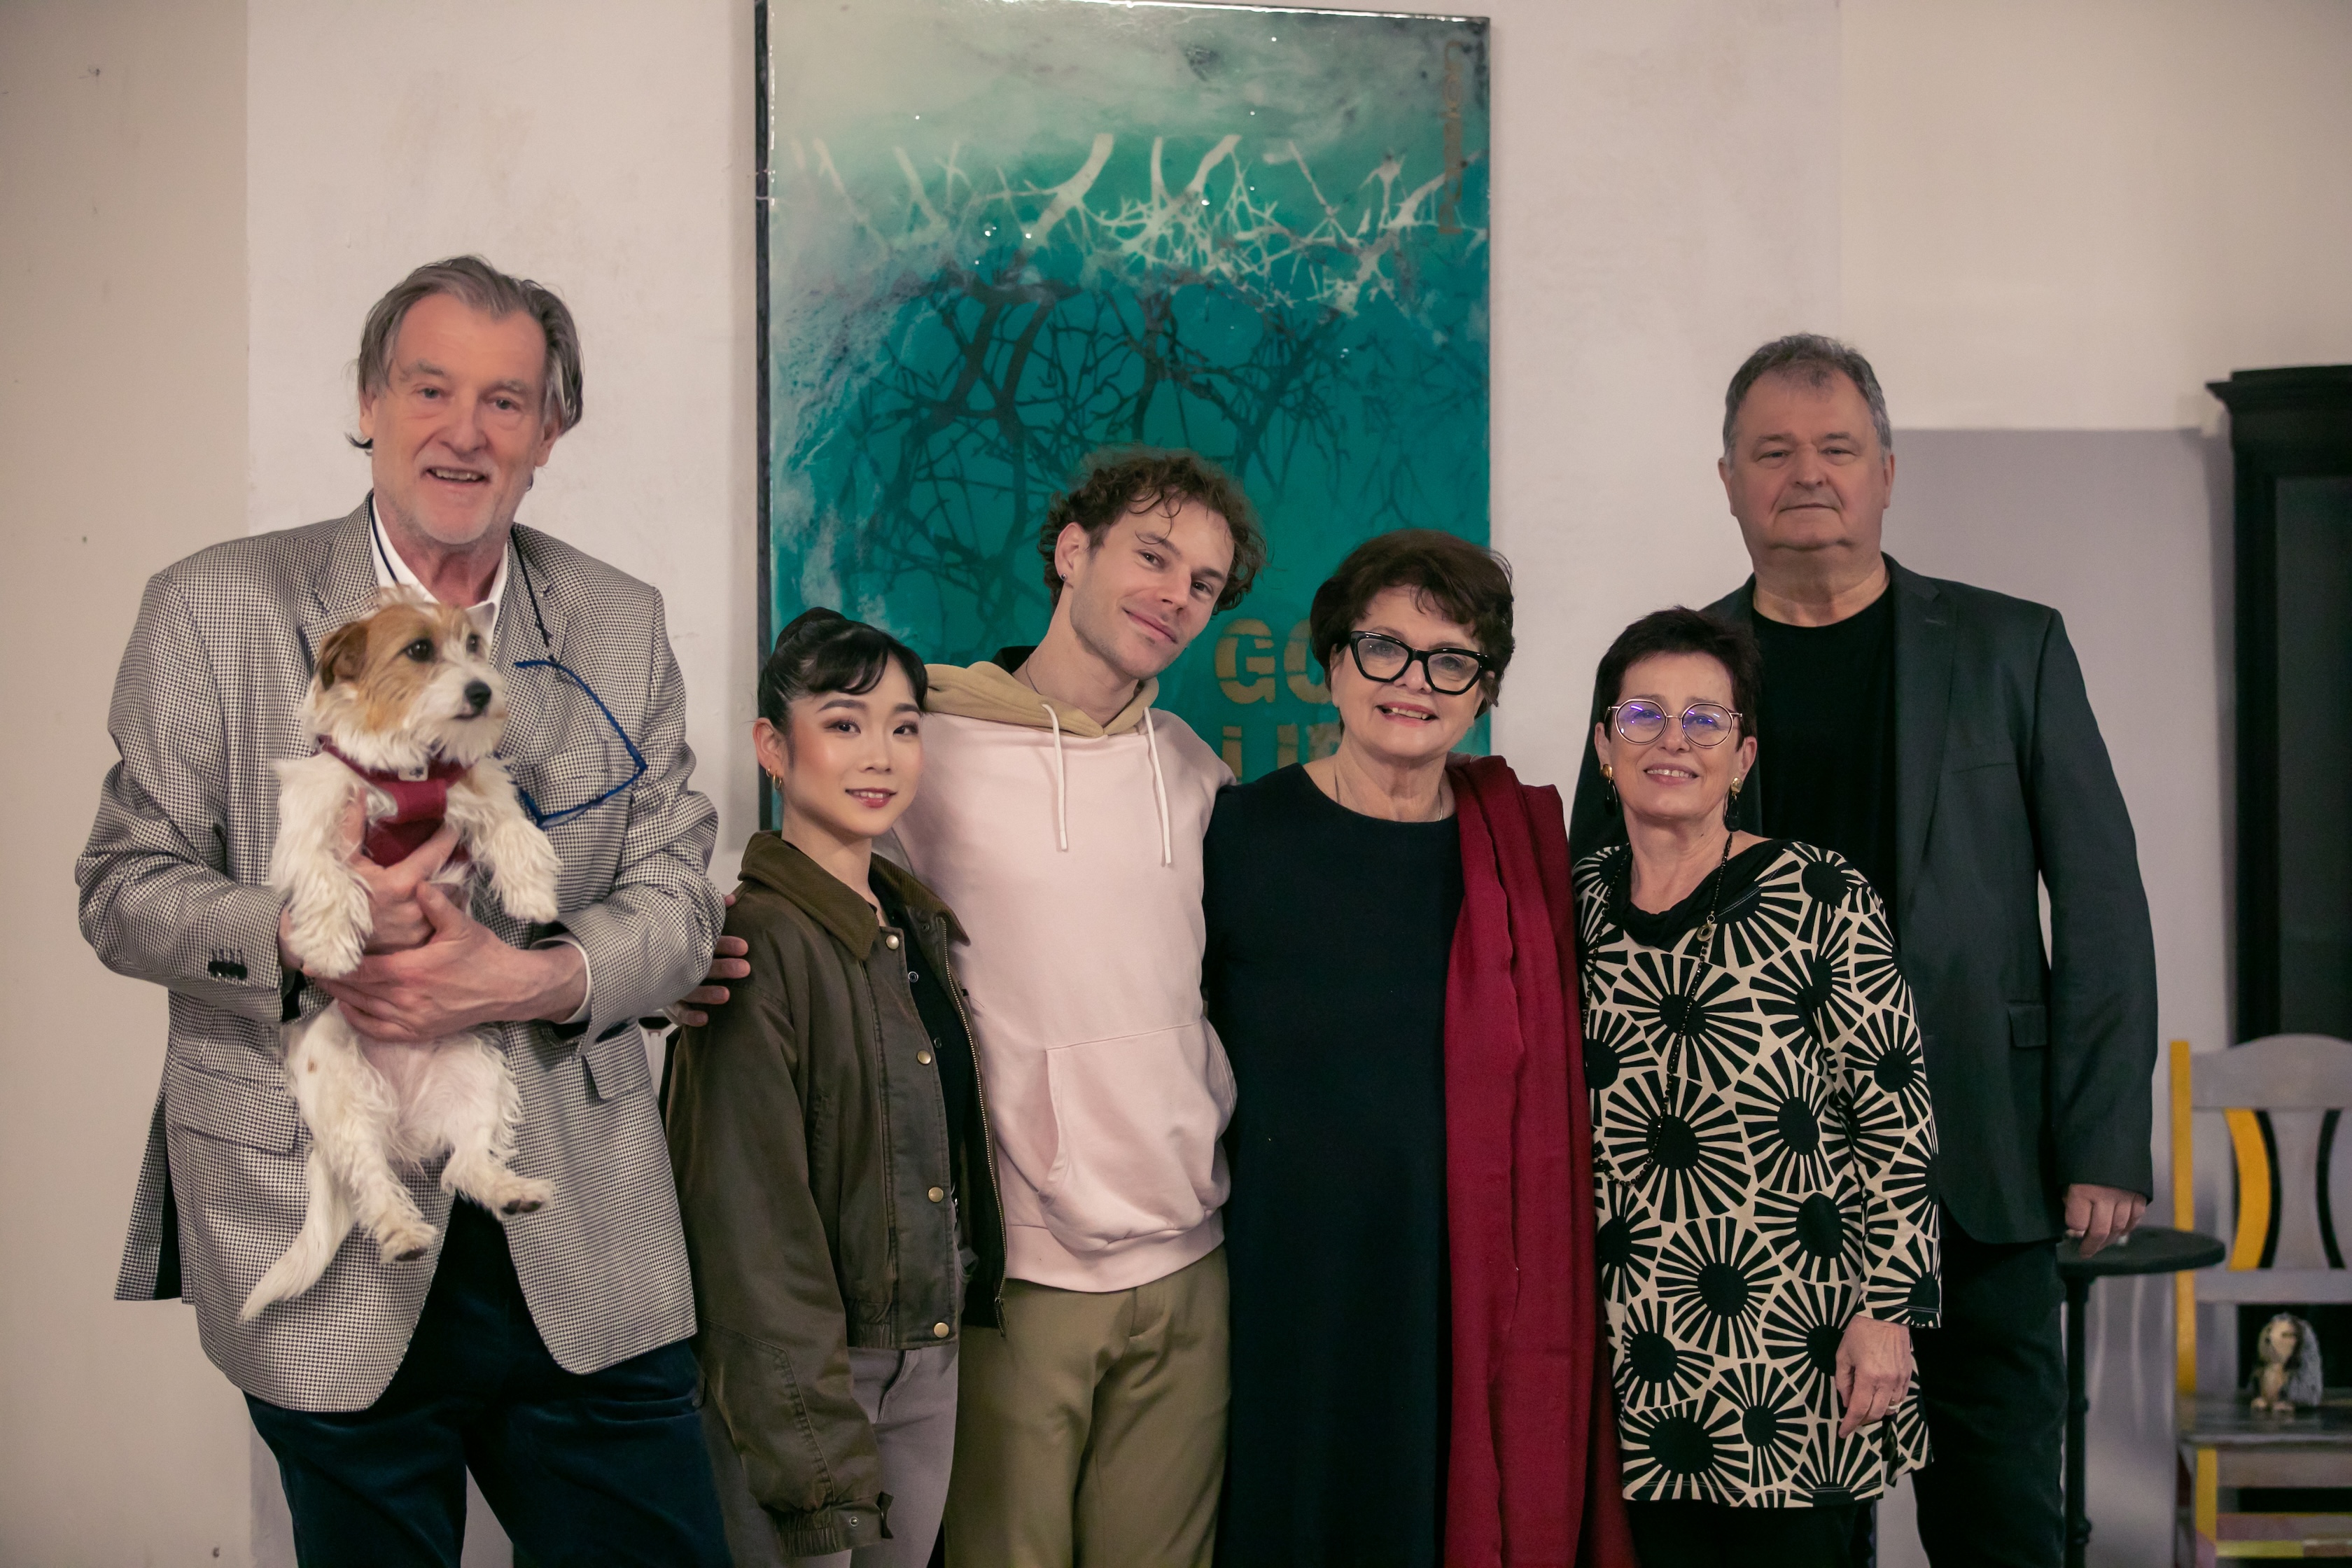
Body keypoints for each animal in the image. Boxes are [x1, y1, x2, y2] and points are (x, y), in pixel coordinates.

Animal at [241, 586, 562, 1321]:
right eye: (419, 650)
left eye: (473, 645)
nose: (480, 690)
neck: (408, 755)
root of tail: (407, 1125)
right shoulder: (316, 819)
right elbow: (326, 876)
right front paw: (331, 946)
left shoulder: (474, 787)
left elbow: (510, 825)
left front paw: (532, 892)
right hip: (338, 1092)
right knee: (371, 1180)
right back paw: (403, 1232)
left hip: (477, 1074)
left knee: (464, 1165)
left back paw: (511, 1191)